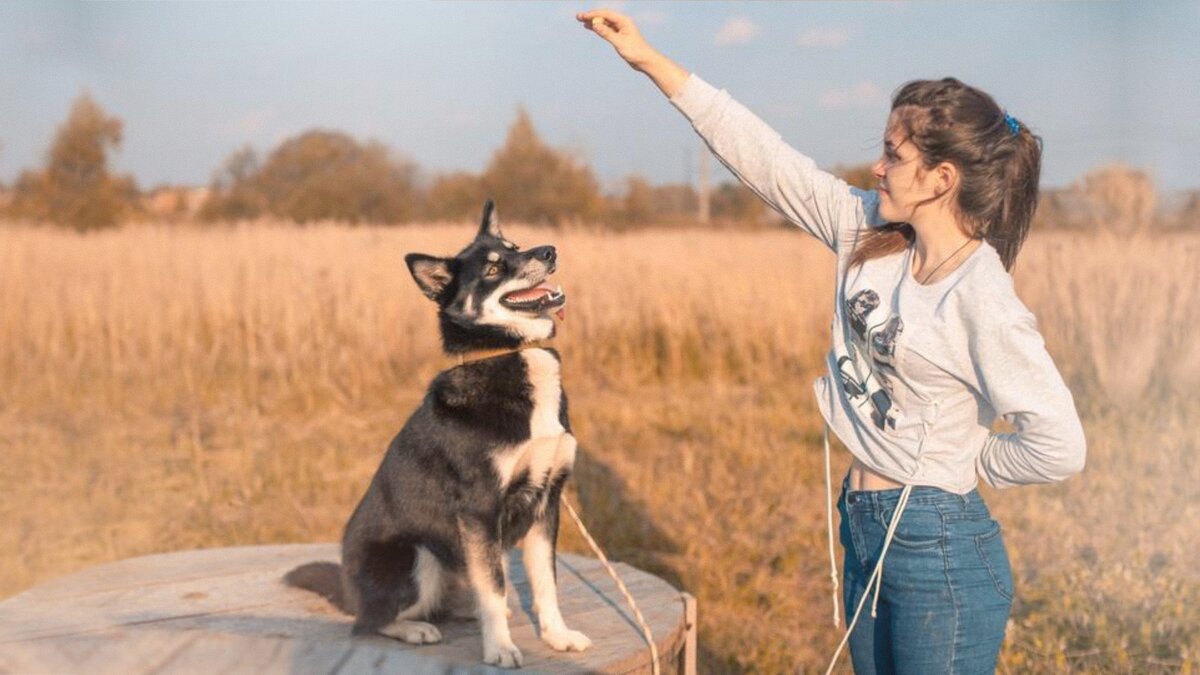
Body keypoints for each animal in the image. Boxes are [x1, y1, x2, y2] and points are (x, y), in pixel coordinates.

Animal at [286, 198, 595, 662]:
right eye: (492, 268)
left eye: (515, 246)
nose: (548, 250)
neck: (506, 352)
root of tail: (348, 589)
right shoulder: (480, 508)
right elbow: (494, 589)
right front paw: (500, 648)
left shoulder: (547, 501)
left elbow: (546, 583)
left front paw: (558, 636)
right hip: (420, 556)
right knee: (370, 622)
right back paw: (414, 628)